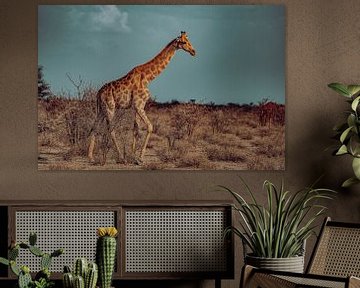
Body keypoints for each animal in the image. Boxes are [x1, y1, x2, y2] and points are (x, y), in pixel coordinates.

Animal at [88, 31, 197, 164]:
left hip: (101, 109)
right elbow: (149, 127)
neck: (148, 77)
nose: (193, 51)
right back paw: (121, 158)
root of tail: (98, 93)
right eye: (184, 42)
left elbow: (136, 129)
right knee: (111, 129)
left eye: (189, 41)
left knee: (94, 127)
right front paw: (140, 158)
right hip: (110, 107)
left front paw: (134, 156)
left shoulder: (137, 106)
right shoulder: (139, 105)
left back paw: (91, 157)